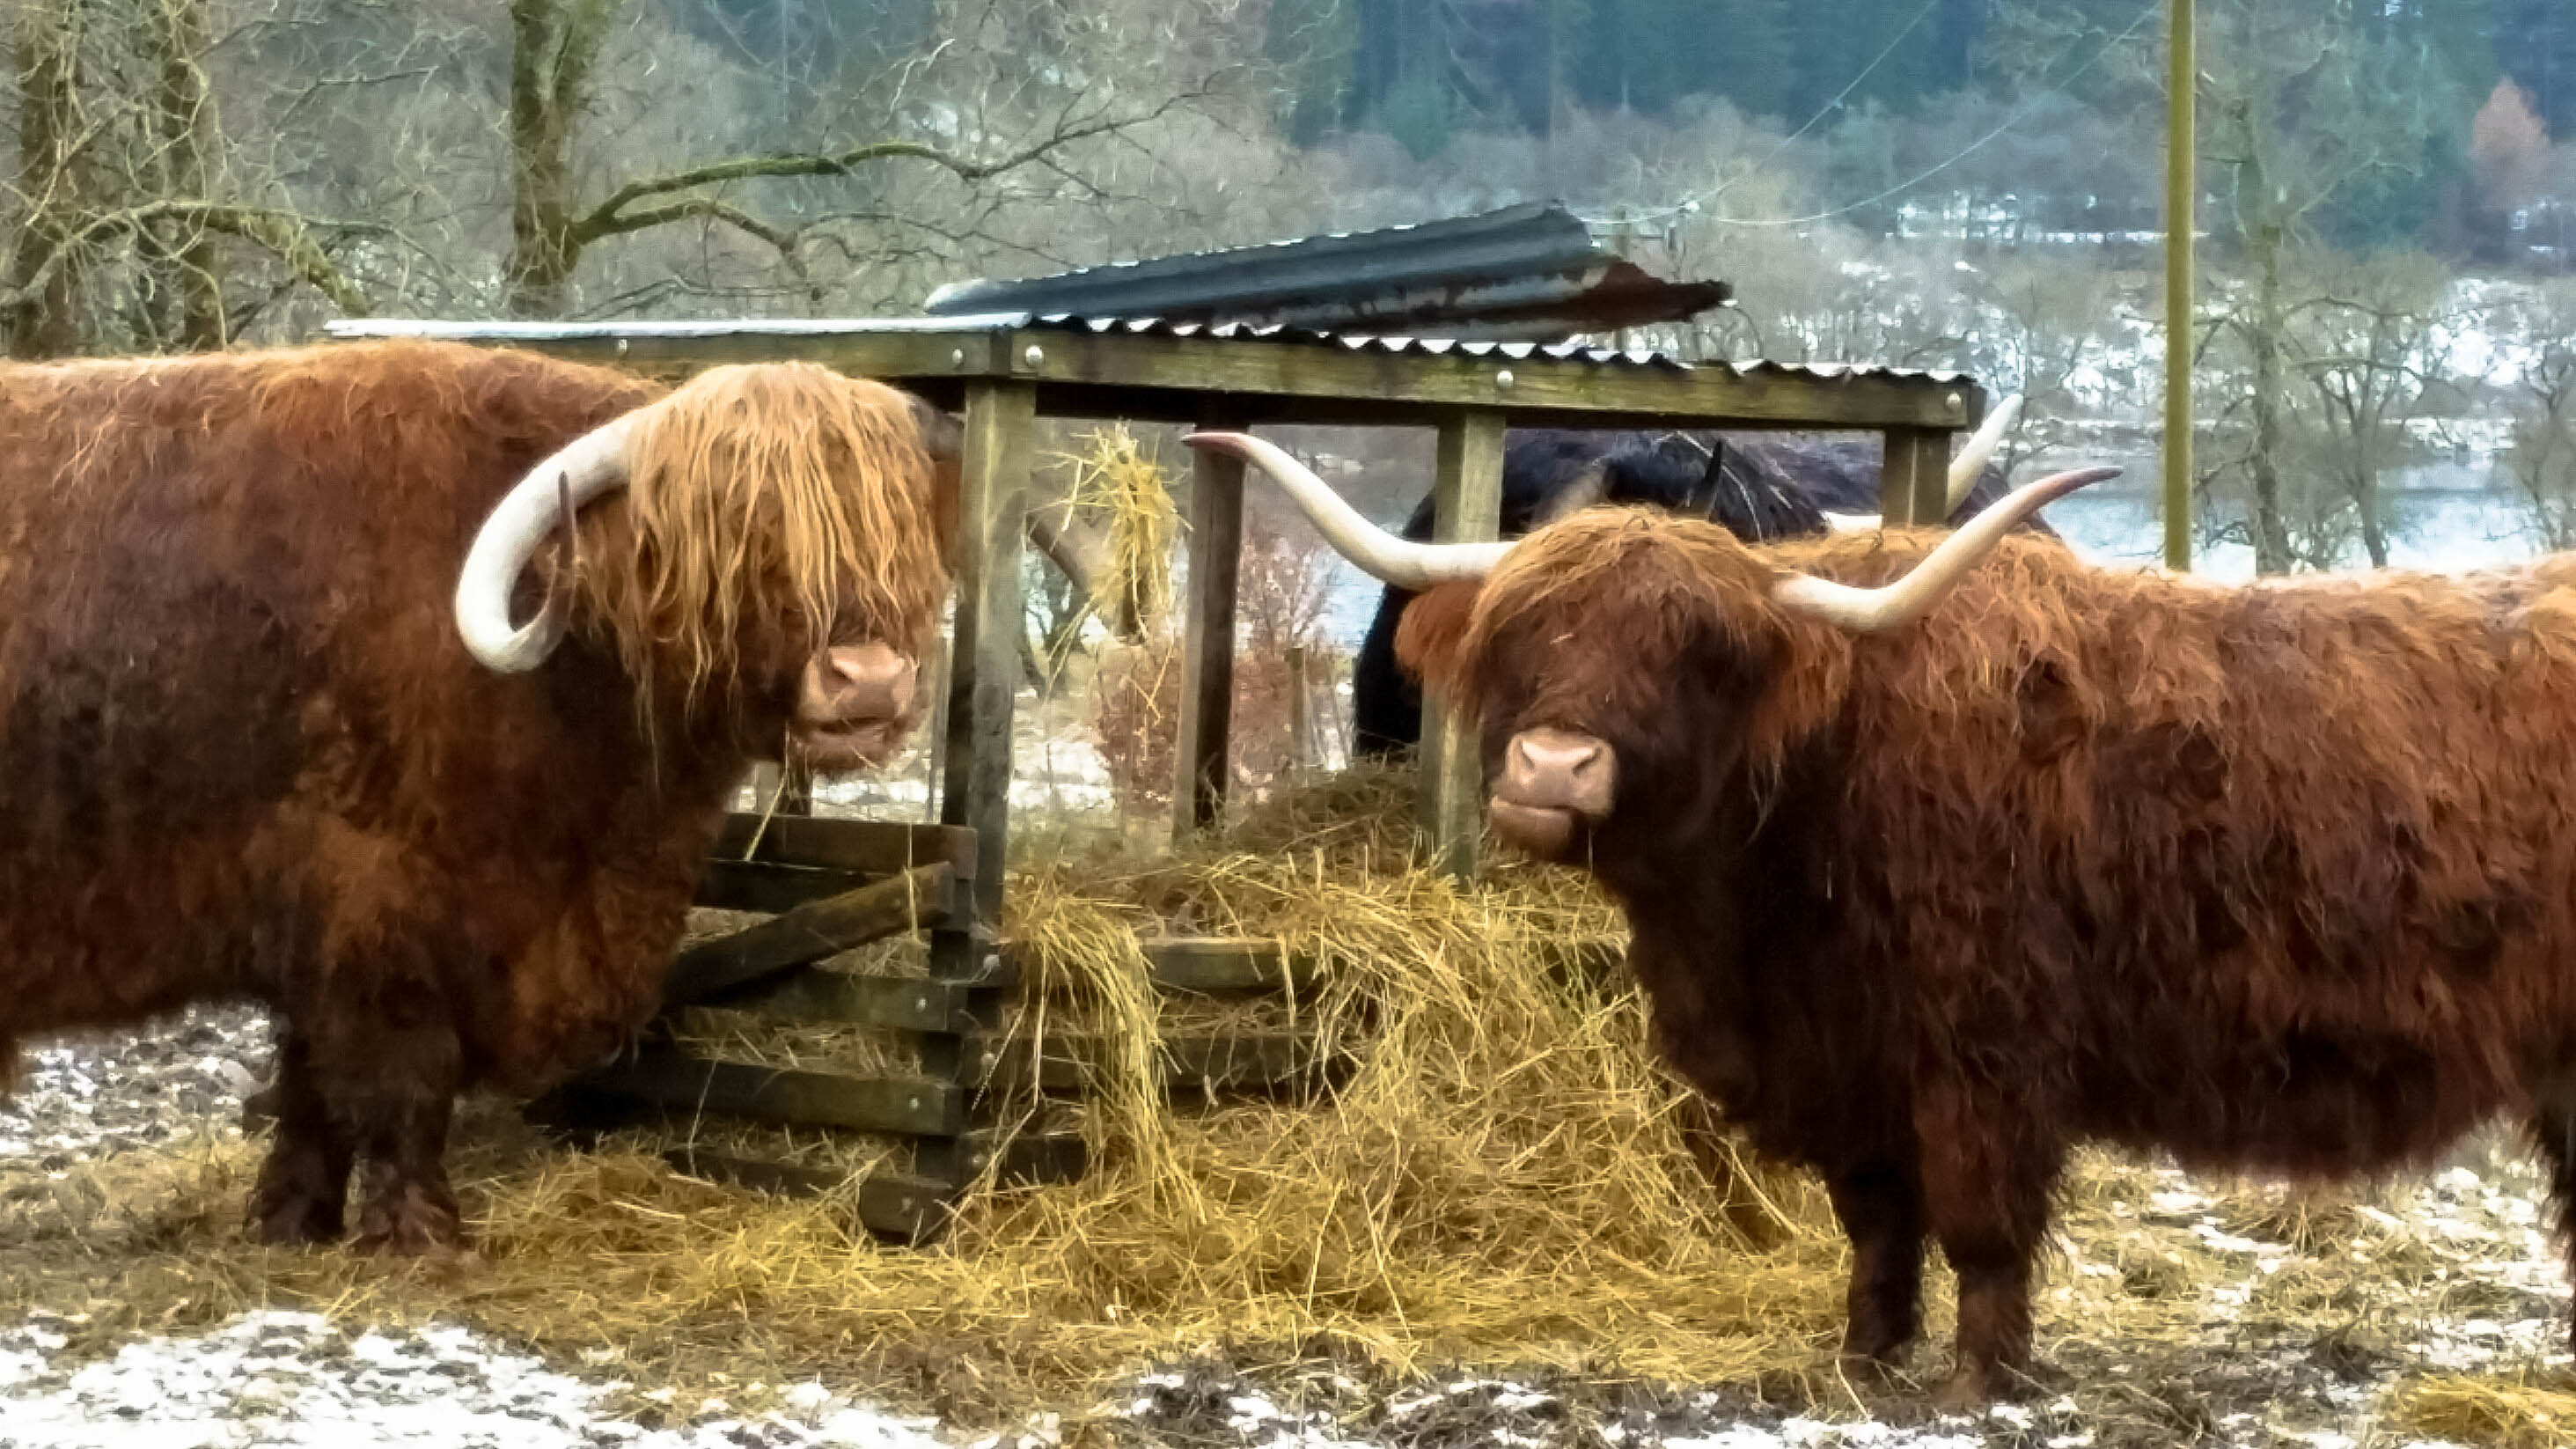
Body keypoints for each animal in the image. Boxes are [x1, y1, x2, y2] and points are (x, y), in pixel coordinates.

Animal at [0, 337, 958, 1253]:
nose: (868, 680)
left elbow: (313, 1080)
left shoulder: (324, 923)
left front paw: (294, 1220)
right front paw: (418, 1233)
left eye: (898, 524)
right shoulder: (382, 898)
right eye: (733, 524)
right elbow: (402, 1078)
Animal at [1190, 425, 2576, 1402]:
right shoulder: (1837, 1058)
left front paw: (1976, 1378)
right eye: (1526, 631)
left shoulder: (1983, 1046)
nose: (1549, 767)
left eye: (1697, 651)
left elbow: (1977, 1221)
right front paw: (1858, 1359)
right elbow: (1871, 1221)